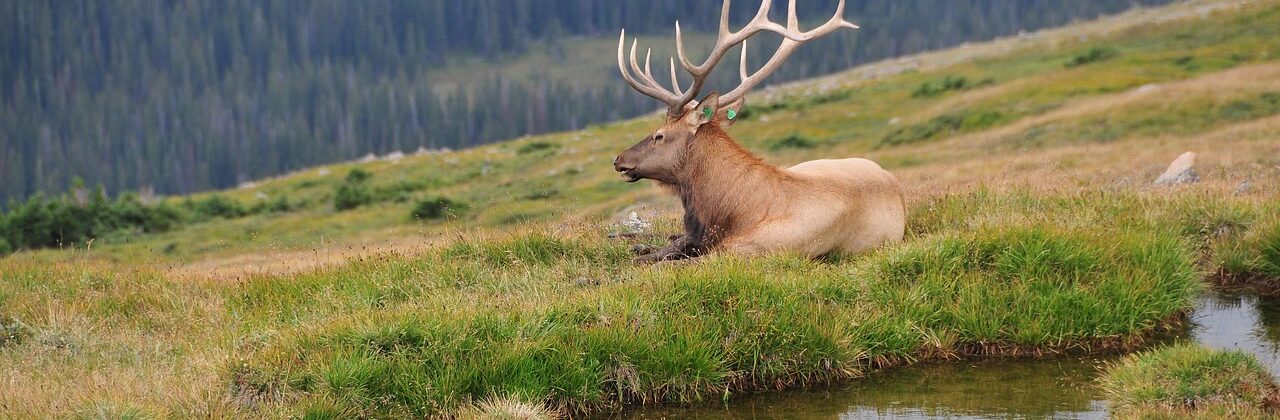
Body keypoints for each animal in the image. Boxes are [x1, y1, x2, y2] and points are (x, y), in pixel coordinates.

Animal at [611, 0, 906, 262]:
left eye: (659, 135)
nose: (618, 159)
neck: (732, 214)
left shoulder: (741, 253)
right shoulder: (695, 238)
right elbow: (649, 255)